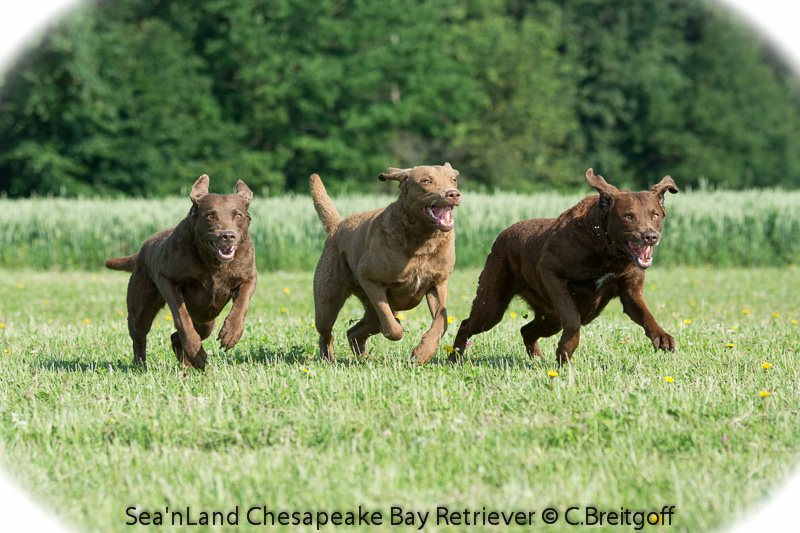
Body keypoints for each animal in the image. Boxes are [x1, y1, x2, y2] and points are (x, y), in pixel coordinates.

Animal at [105, 177, 256, 368]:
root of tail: (142, 249)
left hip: (205, 319)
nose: (227, 236)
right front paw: (194, 349)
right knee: (139, 338)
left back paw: (187, 362)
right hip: (141, 309)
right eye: (210, 215)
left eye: (238, 215)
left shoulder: (249, 277)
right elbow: (181, 318)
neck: (213, 263)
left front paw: (231, 333)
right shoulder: (167, 280)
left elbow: (241, 303)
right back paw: (142, 366)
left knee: (178, 336)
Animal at [312, 164, 462, 364]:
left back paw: (365, 358)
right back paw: (327, 359)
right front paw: (398, 330)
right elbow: (392, 327)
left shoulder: (438, 283)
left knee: (353, 332)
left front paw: (423, 353)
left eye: (453, 180)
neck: (423, 241)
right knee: (326, 333)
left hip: (368, 311)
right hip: (327, 303)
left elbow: (441, 321)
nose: (453, 193)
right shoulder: (370, 279)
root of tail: (336, 226)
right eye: (427, 181)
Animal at [450, 168, 676, 364]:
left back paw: (537, 359)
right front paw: (565, 351)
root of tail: (502, 235)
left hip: (550, 318)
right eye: (628, 216)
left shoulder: (630, 290)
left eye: (655, 215)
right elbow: (573, 318)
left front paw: (663, 337)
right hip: (492, 304)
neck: (606, 250)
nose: (650, 236)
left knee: (526, 330)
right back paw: (454, 358)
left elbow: (646, 314)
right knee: (467, 324)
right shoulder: (550, 272)